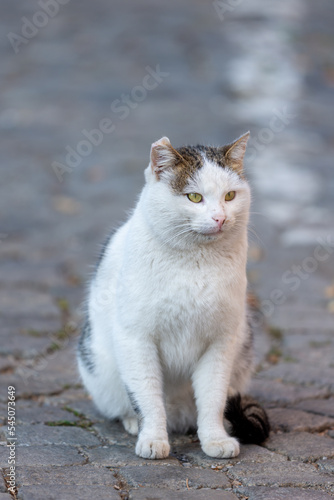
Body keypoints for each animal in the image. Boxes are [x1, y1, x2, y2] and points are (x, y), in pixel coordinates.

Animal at [79, 132, 272, 458]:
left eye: (230, 196)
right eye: (194, 197)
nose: (220, 218)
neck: (196, 262)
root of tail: (180, 418)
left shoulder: (221, 342)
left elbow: (213, 397)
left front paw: (215, 439)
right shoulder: (136, 338)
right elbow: (147, 396)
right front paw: (153, 439)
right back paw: (134, 422)